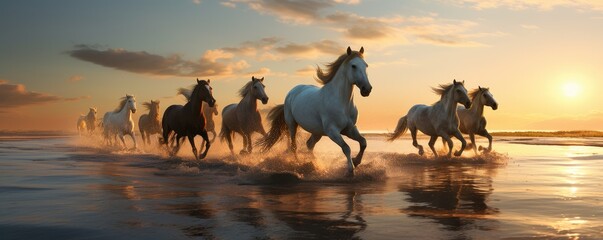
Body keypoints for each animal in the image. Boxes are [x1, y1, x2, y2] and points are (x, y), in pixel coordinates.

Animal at [258, 46, 370, 176]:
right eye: (353, 66)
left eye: (366, 65)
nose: (367, 89)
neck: (342, 103)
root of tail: (293, 91)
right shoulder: (332, 131)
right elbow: (346, 147)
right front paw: (351, 170)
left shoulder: (349, 129)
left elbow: (363, 142)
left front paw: (356, 161)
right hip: (292, 125)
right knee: (294, 146)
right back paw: (298, 163)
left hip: (317, 132)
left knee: (309, 145)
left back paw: (315, 164)